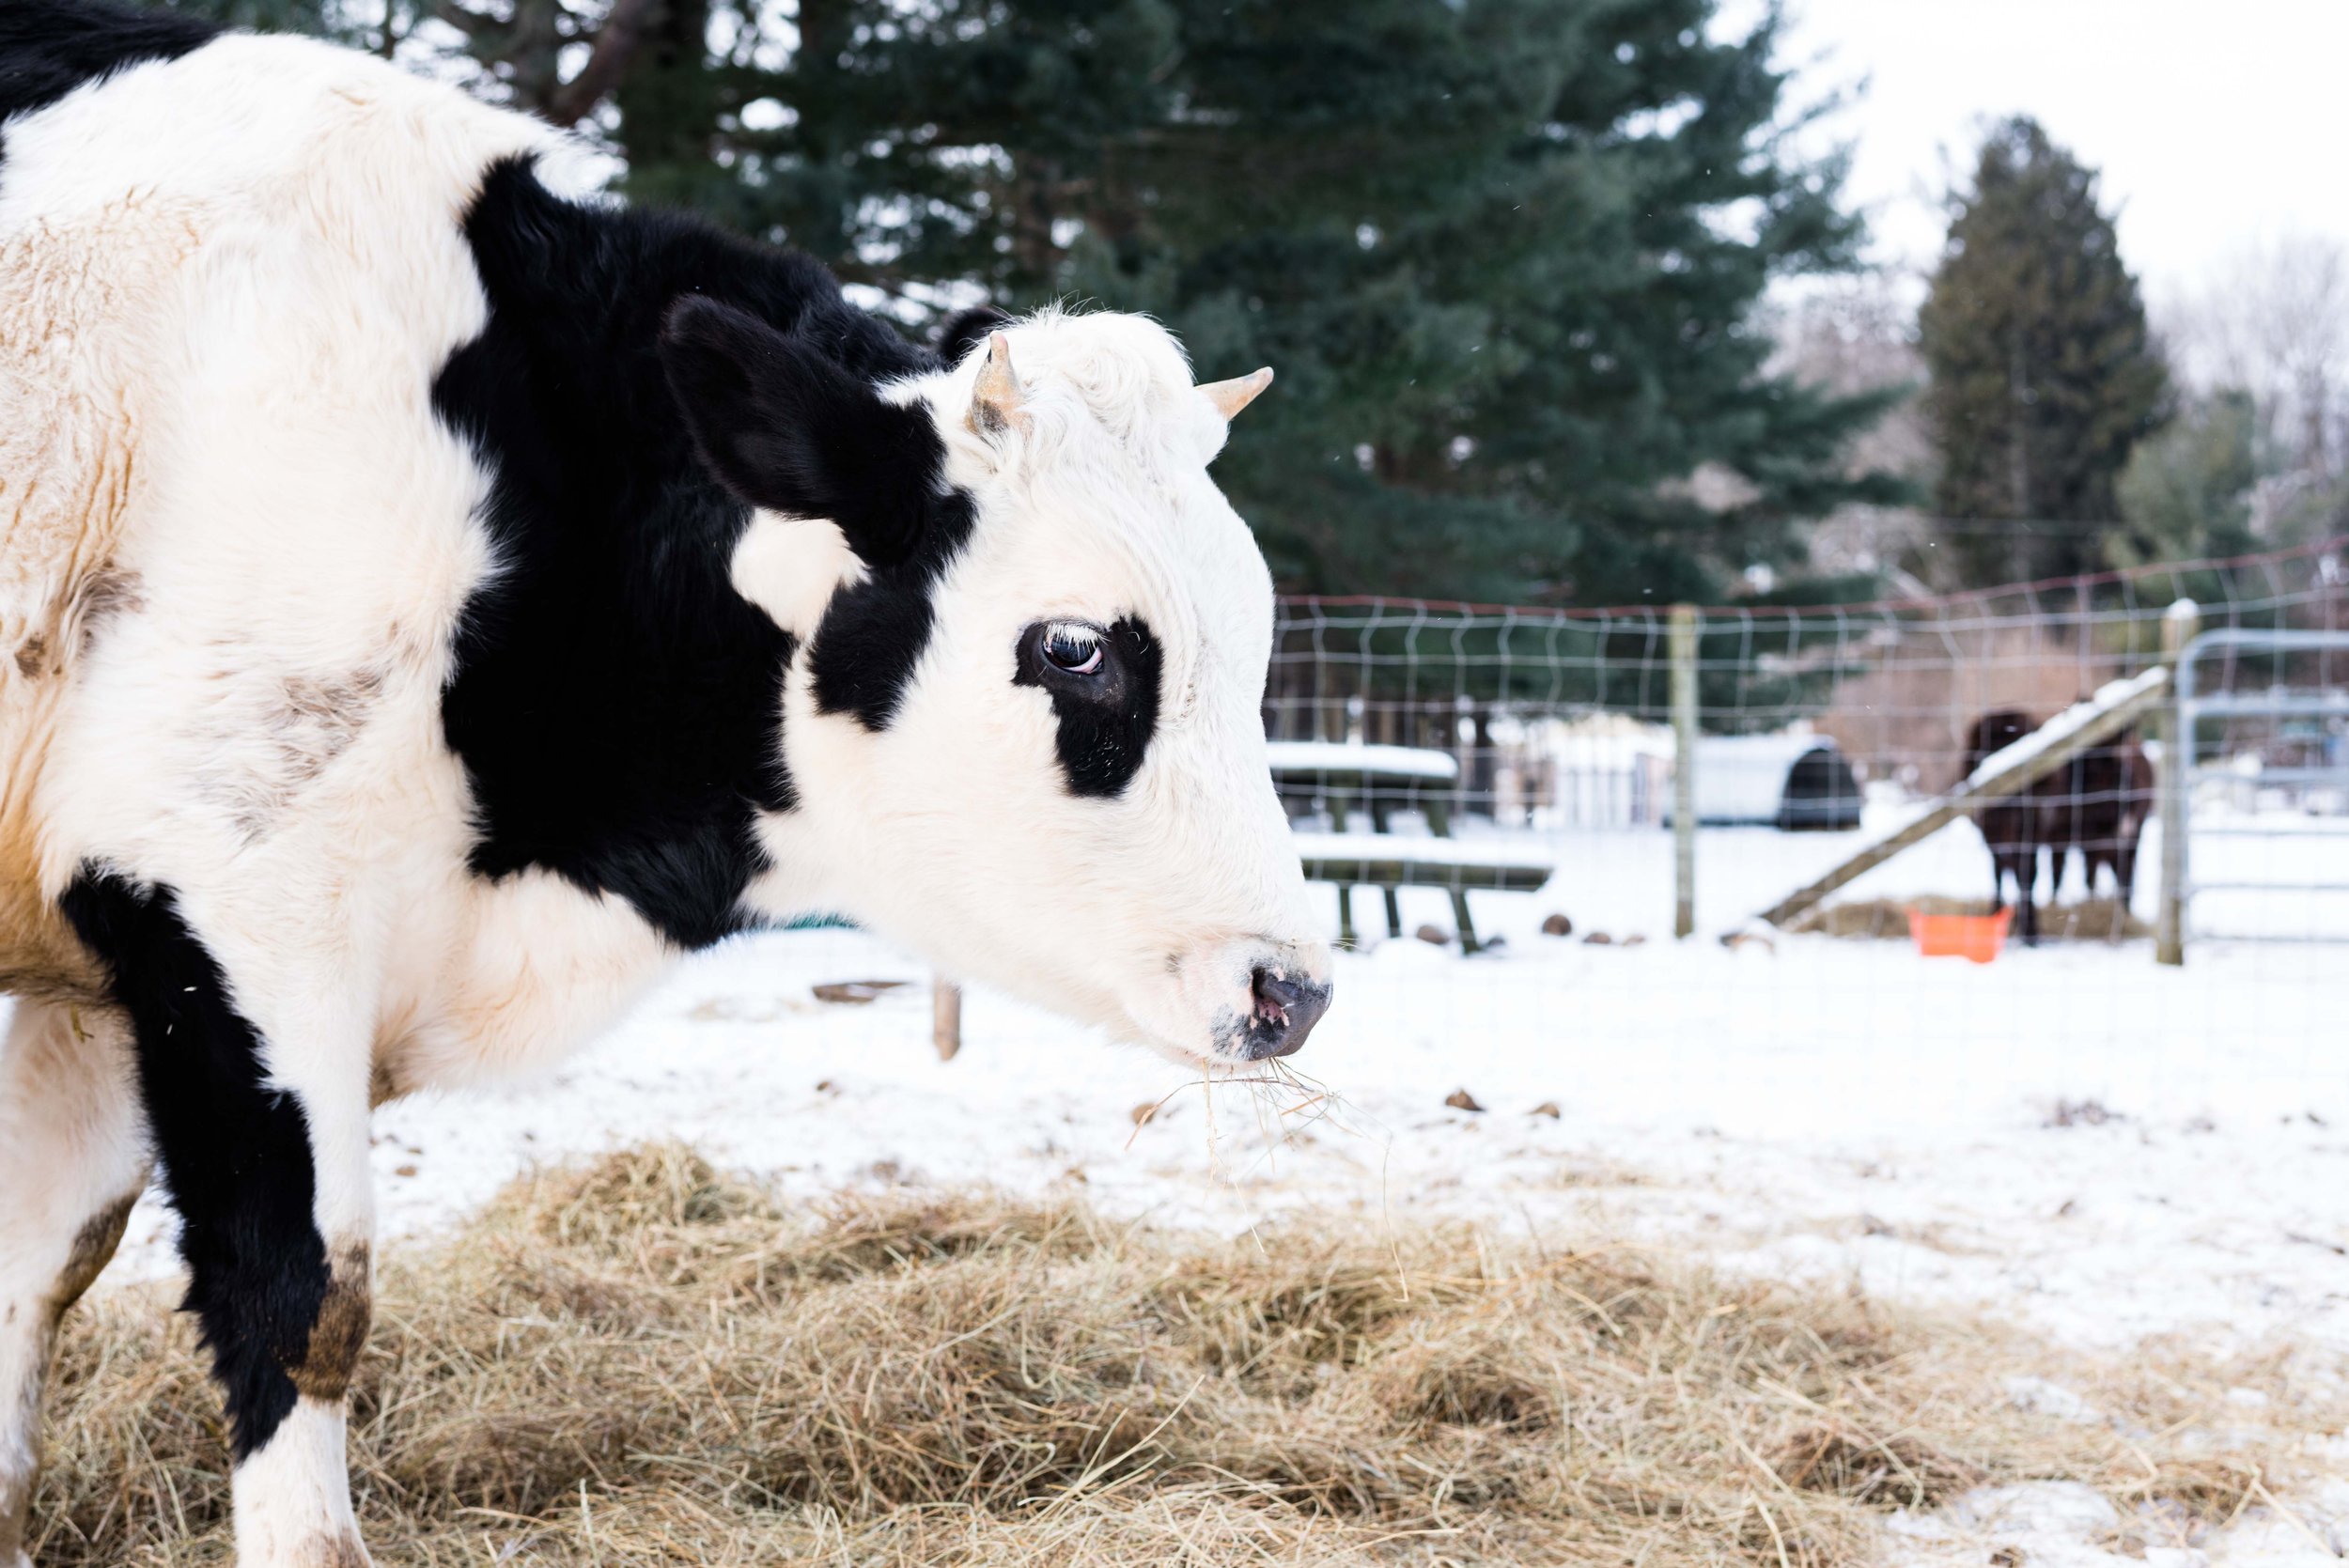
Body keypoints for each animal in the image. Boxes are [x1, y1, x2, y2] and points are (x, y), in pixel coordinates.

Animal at [0, 6, 1334, 1559]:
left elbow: (41, 1258)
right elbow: (301, 1298)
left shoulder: (103, 960)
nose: (1292, 987)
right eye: (1077, 649)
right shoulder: (236, 909)